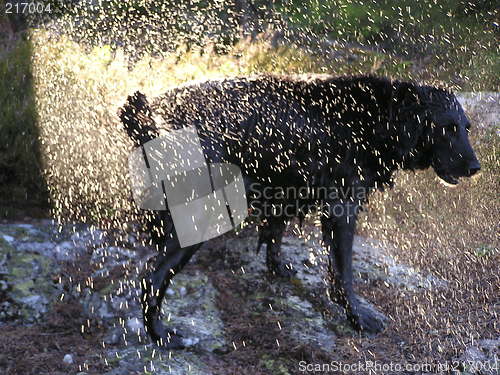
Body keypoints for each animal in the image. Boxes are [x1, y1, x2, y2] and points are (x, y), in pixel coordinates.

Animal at [120, 75, 480, 352]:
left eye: (466, 127)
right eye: (448, 128)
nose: (476, 167)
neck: (377, 118)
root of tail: (147, 115)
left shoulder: (287, 188)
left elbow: (275, 233)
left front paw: (278, 268)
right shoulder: (341, 207)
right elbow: (342, 272)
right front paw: (358, 316)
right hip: (201, 215)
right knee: (152, 276)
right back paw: (161, 335)